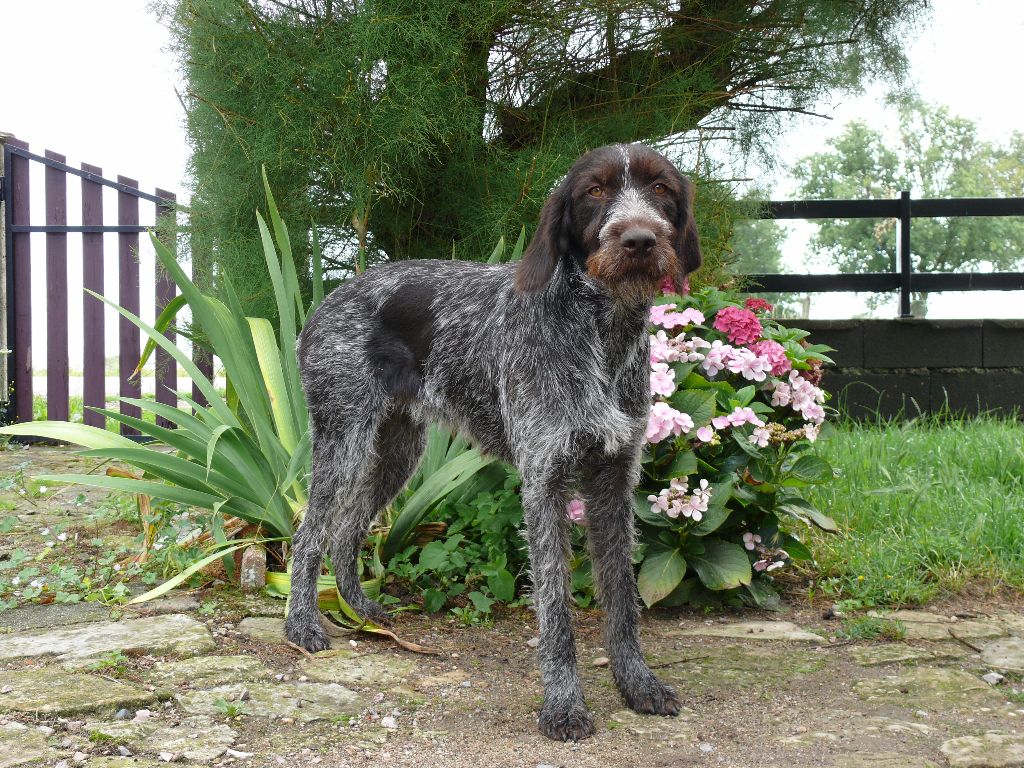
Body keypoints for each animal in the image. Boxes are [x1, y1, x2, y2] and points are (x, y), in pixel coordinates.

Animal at [288, 141, 704, 741]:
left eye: (661, 189)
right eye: (594, 191)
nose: (639, 240)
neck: (600, 331)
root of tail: (325, 302)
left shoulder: (613, 479)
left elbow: (622, 600)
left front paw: (637, 684)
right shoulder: (544, 480)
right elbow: (555, 607)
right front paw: (563, 706)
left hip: (398, 451)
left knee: (346, 531)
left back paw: (363, 612)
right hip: (345, 440)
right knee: (309, 533)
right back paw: (301, 625)